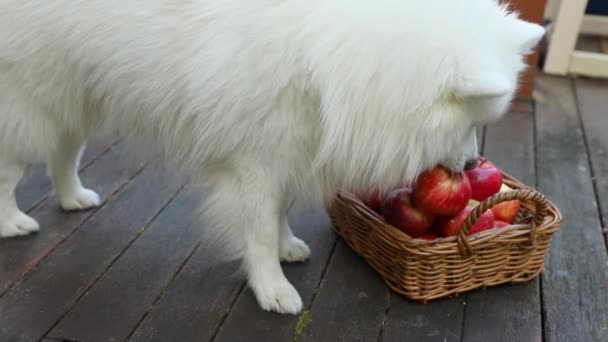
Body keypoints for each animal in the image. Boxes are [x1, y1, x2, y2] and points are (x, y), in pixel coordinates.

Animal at [0, 0, 540, 316]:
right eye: (467, 125)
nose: (470, 167)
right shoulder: (254, 162)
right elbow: (257, 230)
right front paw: (272, 289)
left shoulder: (287, 151)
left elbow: (277, 214)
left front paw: (286, 248)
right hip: (31, 104)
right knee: (10, 171)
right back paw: (13, 222)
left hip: (76, 97)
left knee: (65, 151)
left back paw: (73, 197)